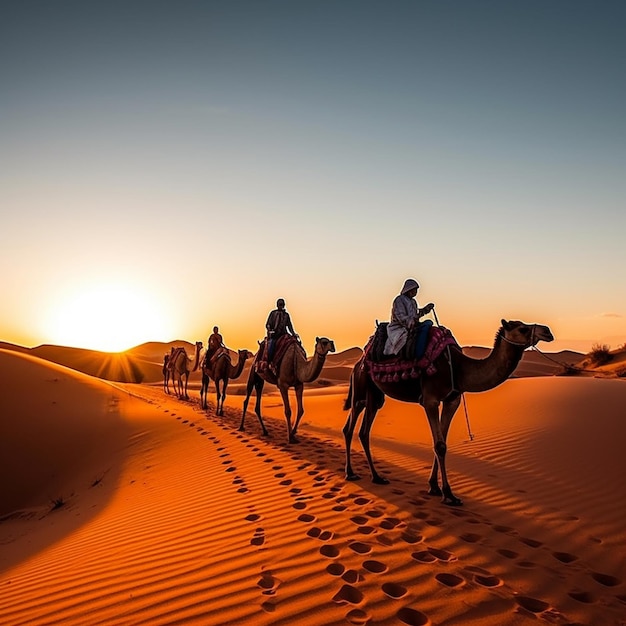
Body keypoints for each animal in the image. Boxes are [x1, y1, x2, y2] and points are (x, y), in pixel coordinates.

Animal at [342, 320, 552, 504]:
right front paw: (449, 495)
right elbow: (440, 445)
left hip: (374, 394)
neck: (459, 369)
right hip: (362, 385)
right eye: (523, 328)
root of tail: (359, 361)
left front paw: (434, 487)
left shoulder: (452, 400)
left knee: (359, 429)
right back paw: (354, 474)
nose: (548, 331)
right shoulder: (430, 400)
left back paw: (373, 476)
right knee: (354, 428)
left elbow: (442, 442)